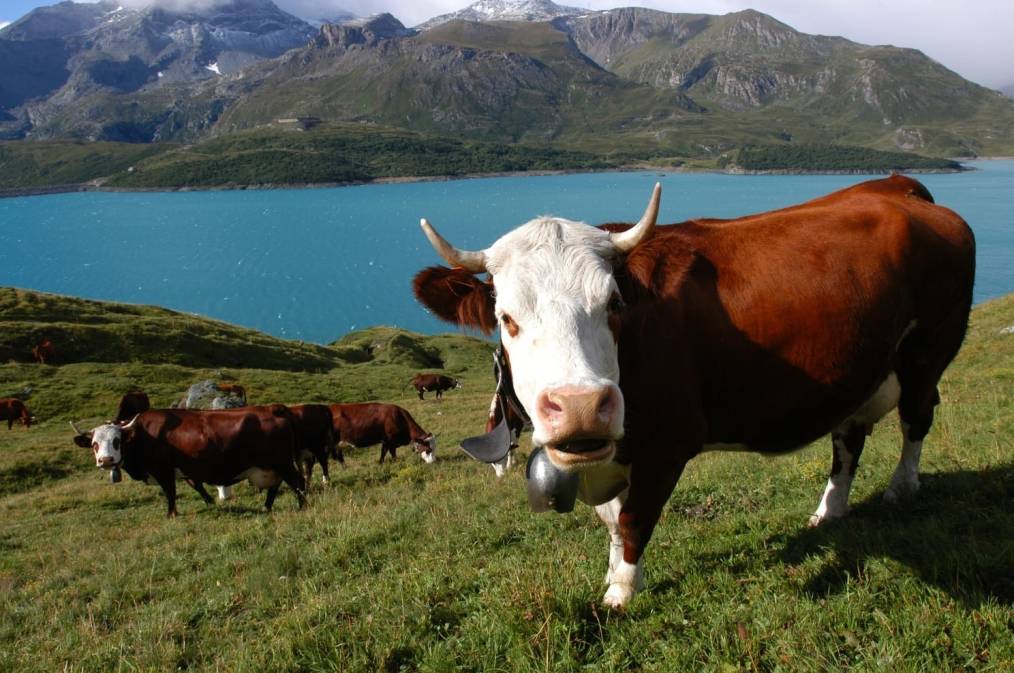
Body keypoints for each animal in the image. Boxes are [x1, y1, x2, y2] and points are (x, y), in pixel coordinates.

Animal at [71, 405, 307, 517]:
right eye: (94, 444)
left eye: (117, 440)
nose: (106, 460)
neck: (141, 434)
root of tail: (273, 408)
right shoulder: (186, 470)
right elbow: (196, 486)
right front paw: (211, 503)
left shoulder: (163, 470)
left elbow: (170, 493)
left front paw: (171, 514)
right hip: (272, 467)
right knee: (276, 486)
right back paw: (266, 508)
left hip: (282, 463)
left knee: (298, 483)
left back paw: (302, 507)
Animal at [412, 175, 975, 609]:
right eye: (506, 317)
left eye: (614, 304)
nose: (580, 408)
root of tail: (899, 190)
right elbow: (611, 521)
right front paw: (613, 573)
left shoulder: (668, 443)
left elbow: (634, 520)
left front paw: (620, 594)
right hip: (858, 371)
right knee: (849, 438)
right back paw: (829, 511)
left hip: (927, 352)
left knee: (916, 418)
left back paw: (901, 487)